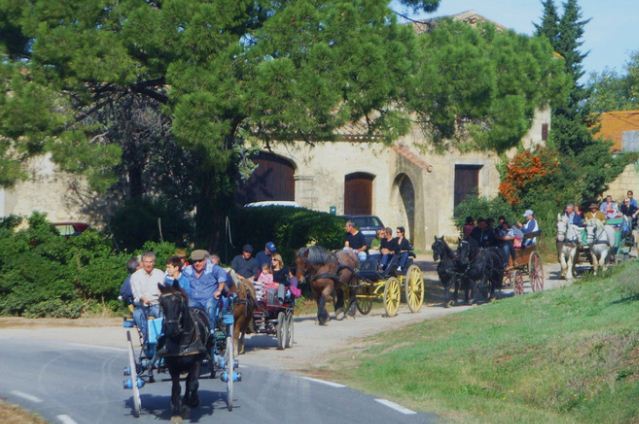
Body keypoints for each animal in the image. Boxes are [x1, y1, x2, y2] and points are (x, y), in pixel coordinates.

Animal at [158, 280, 210, 422]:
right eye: (161, 303)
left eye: (178, 302)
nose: (171, 329)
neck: (182, 342)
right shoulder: (172, 365)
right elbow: (176, 387)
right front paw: (177, 407)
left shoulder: (197, 362)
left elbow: (193, 383)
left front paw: (192, 401)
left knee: (190, 381)